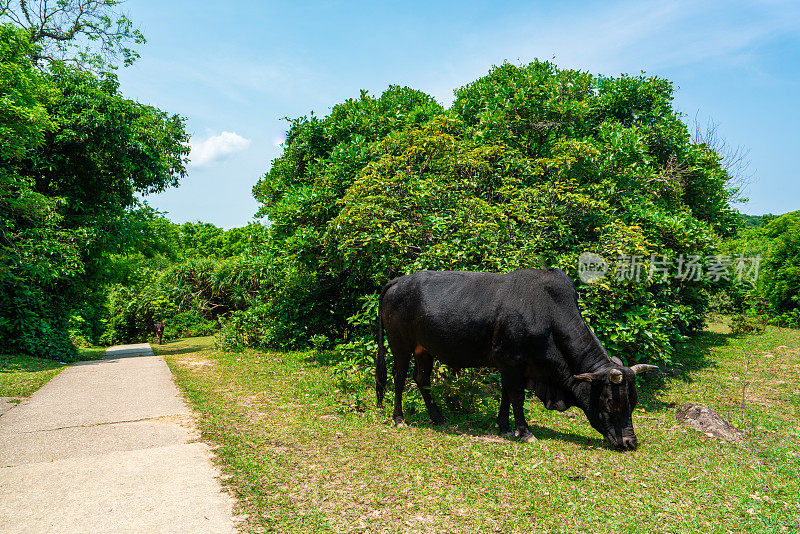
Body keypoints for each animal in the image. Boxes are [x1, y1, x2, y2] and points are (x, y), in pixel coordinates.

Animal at [376, 270, 656, 450]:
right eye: (611, 401)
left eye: (633, 402)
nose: (630, 442)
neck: (548, 315)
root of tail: (398, 280)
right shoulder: (511, 362)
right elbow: (517, 397)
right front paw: (525, 432)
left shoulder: (509, 366)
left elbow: (506, 395)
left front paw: (503, 426)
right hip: (400, 345)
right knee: (399, 378)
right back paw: (399, 418)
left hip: (425, 350)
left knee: (422, 379)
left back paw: (438, 417)